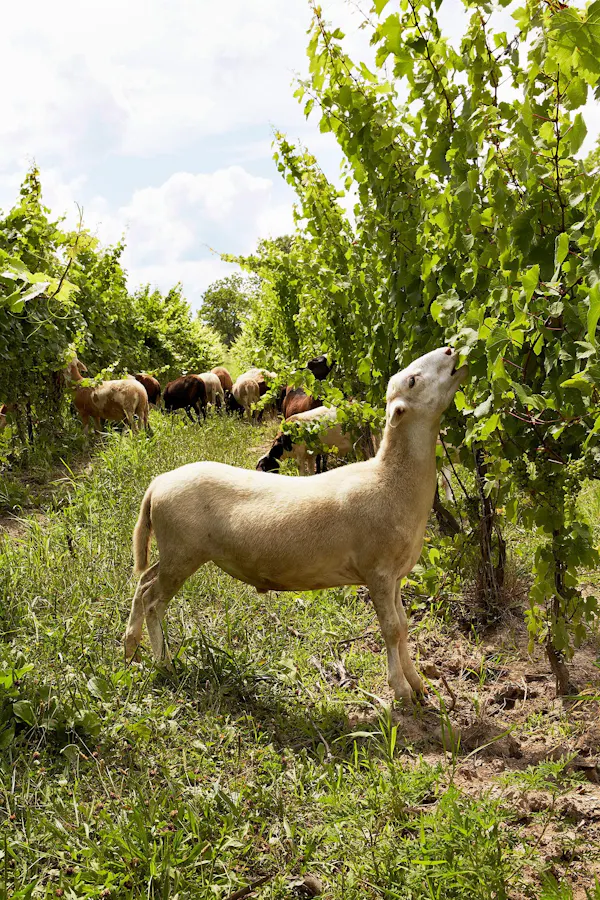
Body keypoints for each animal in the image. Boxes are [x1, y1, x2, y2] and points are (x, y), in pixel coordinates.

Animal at [124, 346, 467, 702]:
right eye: (413, 380)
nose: (451, 350)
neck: (391, 480)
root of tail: (158, 483)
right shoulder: (378, 573)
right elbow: (391, 629)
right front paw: (401, 690)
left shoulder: (396, 575)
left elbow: (402, 625)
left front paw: (417, 684)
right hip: (182, 553)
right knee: (154, 601)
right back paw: (163, 663)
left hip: (174, 551)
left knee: (144, 583)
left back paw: (130, 647)